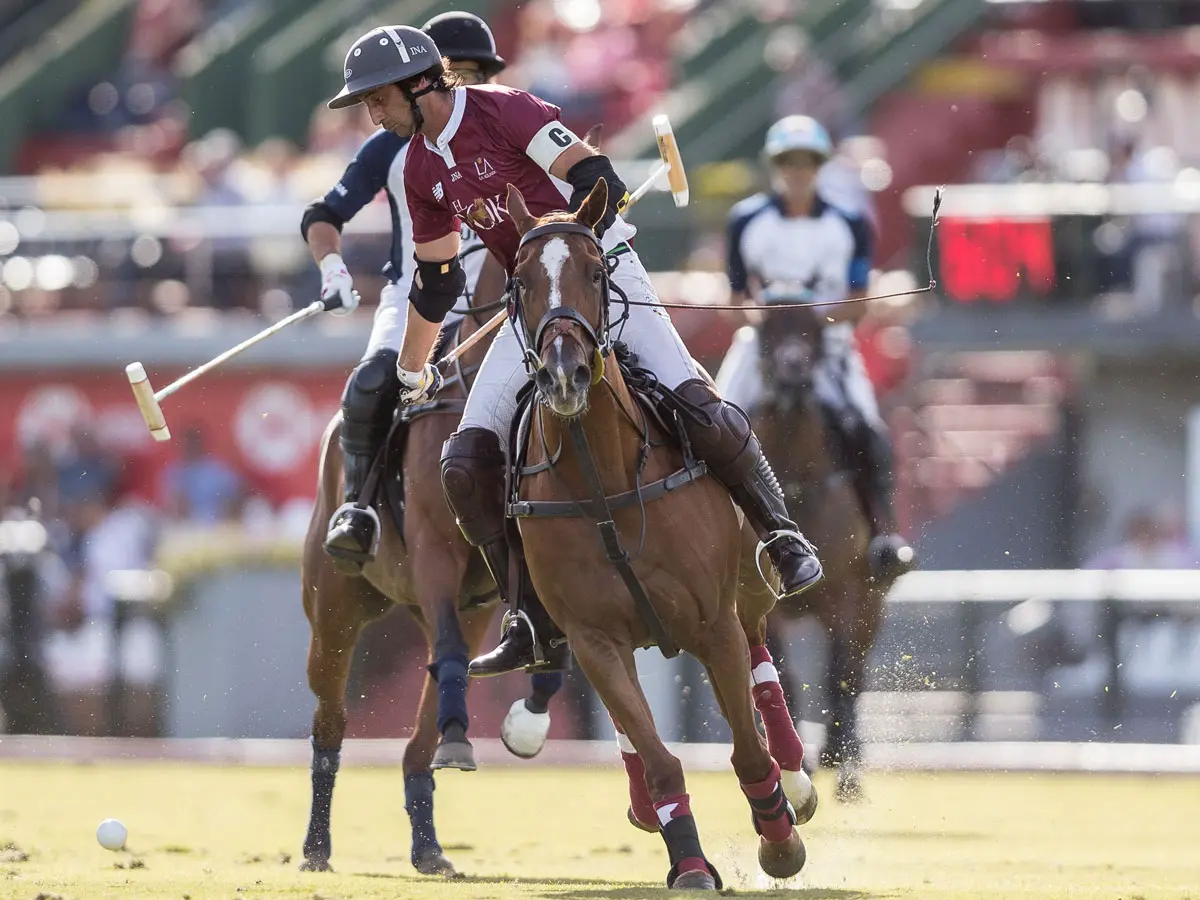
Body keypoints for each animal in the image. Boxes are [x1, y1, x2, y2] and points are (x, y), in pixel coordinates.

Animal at [300, 262, 561, 883]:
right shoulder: (436, 551)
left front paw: (527, 721)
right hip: (334, 611)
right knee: (332, 721)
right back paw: (317, 846)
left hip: (457, 609)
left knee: (420, 735)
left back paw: (429, 843)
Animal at [501, 180, 820, 892]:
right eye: (521, 280)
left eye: (597, 271)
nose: (563, 375)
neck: (602, 481)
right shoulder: (594, 638)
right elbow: (657, 756)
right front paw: (691, 864)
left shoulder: (711, 622)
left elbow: (747, 750)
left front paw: (779, 840)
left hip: (749, 588)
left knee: (762, 666)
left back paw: (797, 783)